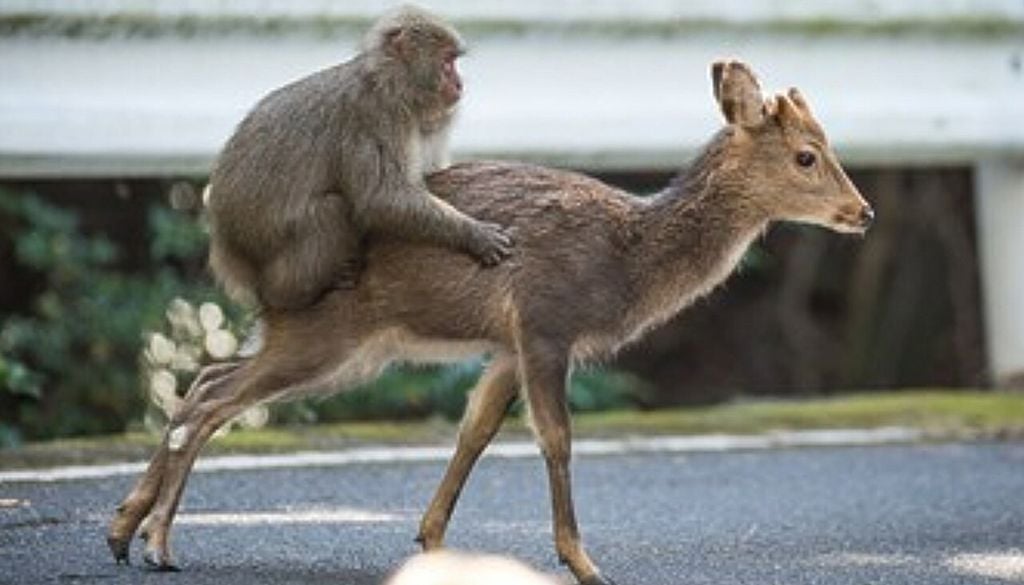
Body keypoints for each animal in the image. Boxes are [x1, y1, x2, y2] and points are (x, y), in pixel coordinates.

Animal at [107, 60, 872, 585]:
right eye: (807, 155)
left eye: (830, 145)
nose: (862, 211)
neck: (626, 260)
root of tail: (255, 270)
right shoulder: (544, 321)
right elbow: (555, 438)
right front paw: (583, 562)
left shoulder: (506, 345)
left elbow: (474, 431)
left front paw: (433, 540)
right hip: (330, 335)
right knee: (213, 397)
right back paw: (157, 542)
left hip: (338, 345)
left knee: (206, 377)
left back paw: (125, 529)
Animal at [204, 5, 514, 310]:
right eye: (448, 61)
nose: (459, 84)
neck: (389, 82)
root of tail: (228, 247)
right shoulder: (376, 115)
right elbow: (381, 197)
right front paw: (473, 234)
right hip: (266, 247)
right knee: (331, 209)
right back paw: (290, 294)